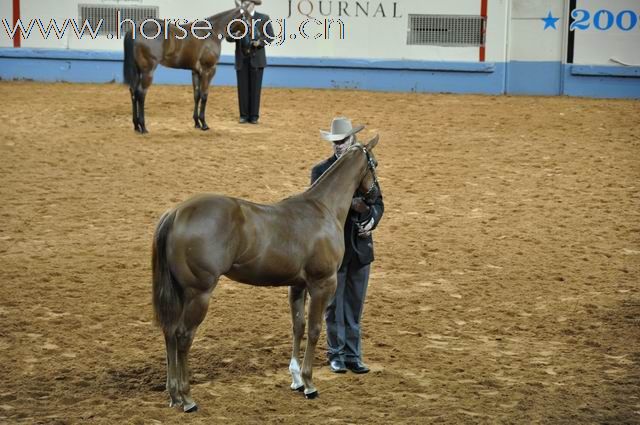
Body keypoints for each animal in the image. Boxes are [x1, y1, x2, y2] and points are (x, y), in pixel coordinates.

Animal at [124, 0, 258, 132]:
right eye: (249, 17)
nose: (254, 40)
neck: (212, 32)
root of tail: (136, 28)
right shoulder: (208, 70)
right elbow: (204, 95)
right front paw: (204, 124)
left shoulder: (195, 71)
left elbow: (196, 95)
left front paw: (197, 123)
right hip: (148, 71)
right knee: (141, 93)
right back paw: (143, 127)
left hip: (137, 71)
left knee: (133, 92)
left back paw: (136, 126)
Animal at [151, 135, 380, 410]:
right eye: (375, 164)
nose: (375, 196)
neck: (323, 209)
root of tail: (176, 213)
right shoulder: (322, 284)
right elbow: (315, 330)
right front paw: (309, 383)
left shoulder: (298, 285)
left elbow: (298, 326)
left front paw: (296, 379)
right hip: (198, 294)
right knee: (183, 336)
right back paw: (187, 398)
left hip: (179, 292)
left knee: (170, 333)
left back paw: (174, 395)